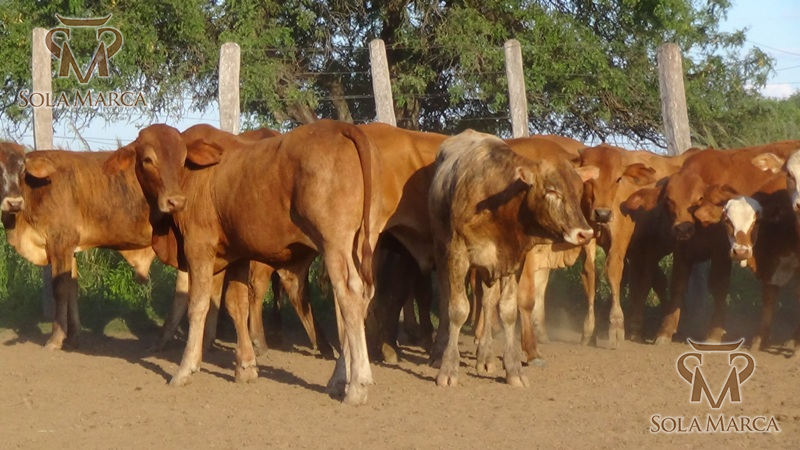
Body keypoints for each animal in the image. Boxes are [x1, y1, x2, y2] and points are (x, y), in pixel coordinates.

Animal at [103, 120, 381, 405]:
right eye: (148, 159)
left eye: (182, 158)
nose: (175, 201)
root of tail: (340, 127)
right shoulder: (236, 255)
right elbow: (237, 304)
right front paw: (245, 366)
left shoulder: (198, 248)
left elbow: (198, 306)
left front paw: (186, 368)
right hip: (360, 242)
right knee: (361, 297)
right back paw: (339, 378)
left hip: (334, 243)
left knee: (348, 296)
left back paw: (356, 385)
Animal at [428, 130, 594, 387]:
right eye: (552, 191)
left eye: (578, 192)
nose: (584, 233)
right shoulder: (458, 254)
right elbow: (457, 310)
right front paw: (448, 368)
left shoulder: (512, 261)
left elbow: (506, 310)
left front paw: (514, 369)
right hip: (441, 248)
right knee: (448, 297)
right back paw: (438, 353)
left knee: (487, 303)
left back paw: (485, 356)